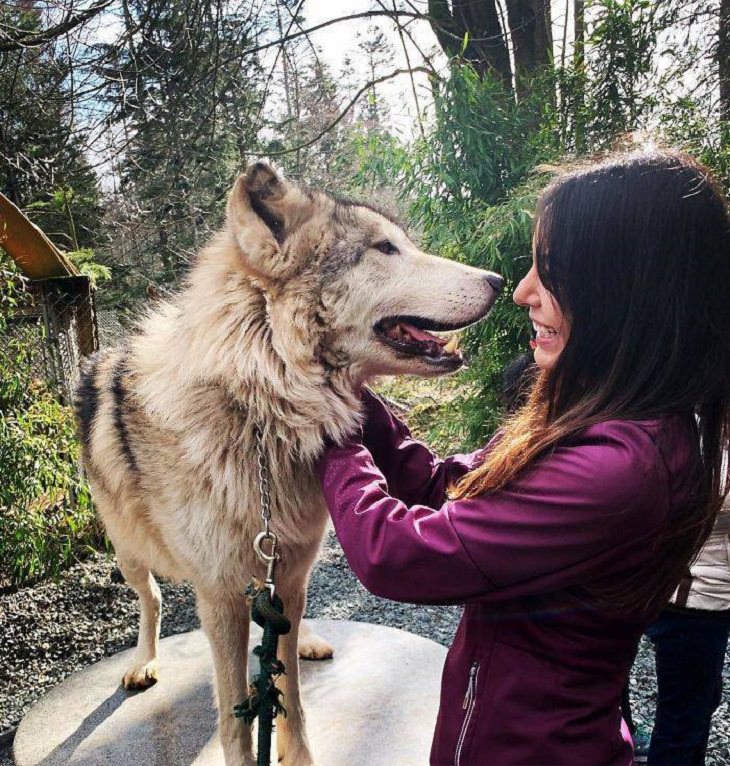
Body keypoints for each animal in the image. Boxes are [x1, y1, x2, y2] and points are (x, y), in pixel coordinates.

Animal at [74, 164, 500, 766]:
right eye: (385, 248)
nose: (497, 278)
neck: (255, 413)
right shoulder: (221, 594)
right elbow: (234, 714)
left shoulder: (291, 572)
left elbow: (289, 697)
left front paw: (296, 752)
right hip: (130, 551)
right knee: (152, 600)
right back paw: (143, 663)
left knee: (284, 638)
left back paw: (309, 644)